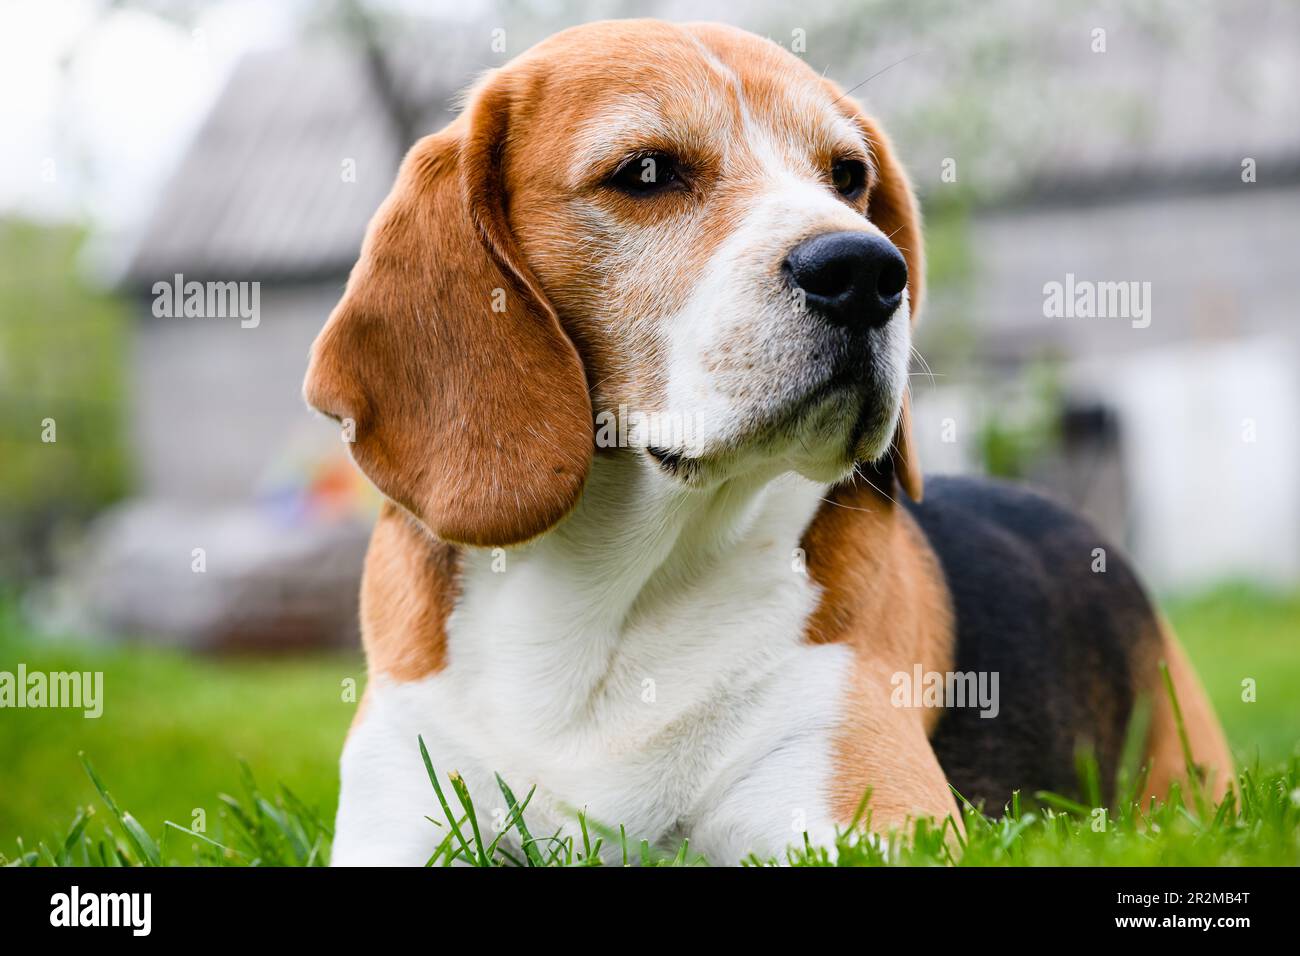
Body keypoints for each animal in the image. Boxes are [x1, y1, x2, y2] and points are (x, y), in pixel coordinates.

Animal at [304, 20, 1227, 868]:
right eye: (645, 172)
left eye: (848, 177)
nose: (867, 272)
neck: (605, 594)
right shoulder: (396, 815)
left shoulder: (865, 817)